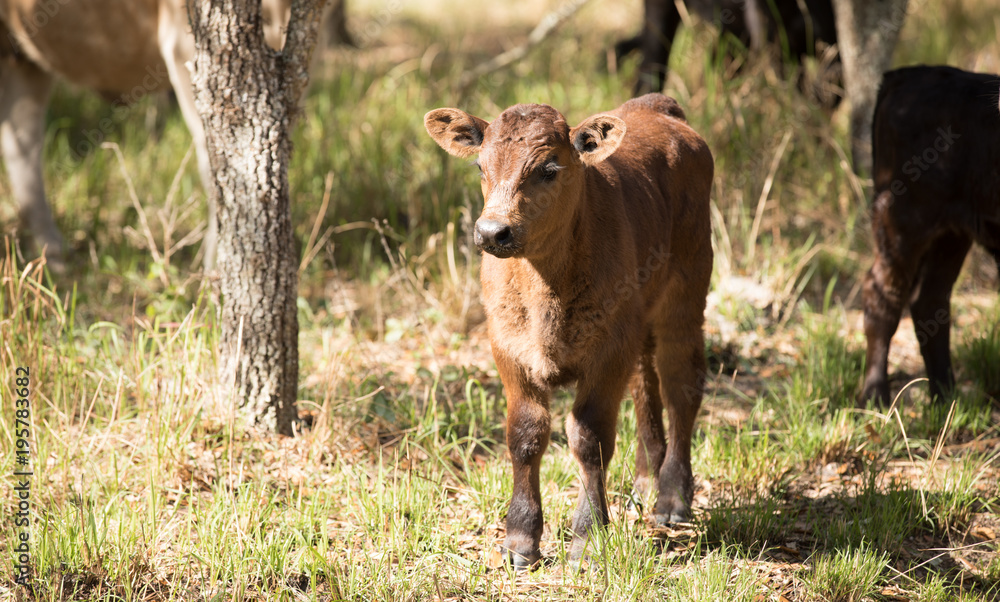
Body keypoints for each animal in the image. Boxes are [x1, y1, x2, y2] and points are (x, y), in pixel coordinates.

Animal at [0, 0, 291, 271]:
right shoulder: (184, 44)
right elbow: (217, 163)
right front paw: (213, 275)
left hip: (24, 58)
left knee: (22, 141)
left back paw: (52, 254)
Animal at [424, 93, 714, 569]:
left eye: (549, 169)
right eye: (481, 165)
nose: (492, 232)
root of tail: (658, 106)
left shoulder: (607, 353)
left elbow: (589, 439)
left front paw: (588, 539)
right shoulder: (509, 348)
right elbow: (526, 434)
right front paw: (520, 540)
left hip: (686, 295)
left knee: (680, 385)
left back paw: (672, 497)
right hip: (639, 318)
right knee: (645, 383)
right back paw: (644, 482)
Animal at [860, 65, 1000, 406]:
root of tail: (905, 75)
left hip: (951, 234)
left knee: (930, 299)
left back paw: (946, 398)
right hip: (902, 221)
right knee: (882, 295)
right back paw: (875, 397)